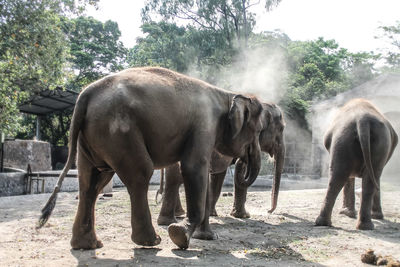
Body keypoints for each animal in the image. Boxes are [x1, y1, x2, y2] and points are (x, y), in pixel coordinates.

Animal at [37, 67, 266, 251]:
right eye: (259, 131)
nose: (244, 160)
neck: (226, 94)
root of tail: (86, 94)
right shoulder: (204, 124)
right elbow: (193, 167)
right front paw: (179, 236)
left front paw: (196, 236)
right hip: (120, 132)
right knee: (139, 173)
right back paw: (151, 241)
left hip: (92, 137)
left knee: (92, 181)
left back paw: (88, 245)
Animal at [156, 102, 284, 239]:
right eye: (281, 129)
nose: (269, 211)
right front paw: (244, 216)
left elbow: (221, 175)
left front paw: (217, 214)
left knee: (173, 177)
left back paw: (170, 220)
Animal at [316, 98, 396, 230]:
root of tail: (362, 120)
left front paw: (347, 213)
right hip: (367, 142)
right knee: (364, 177)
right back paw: (365, 225)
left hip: (344, 140)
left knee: (339, 176)